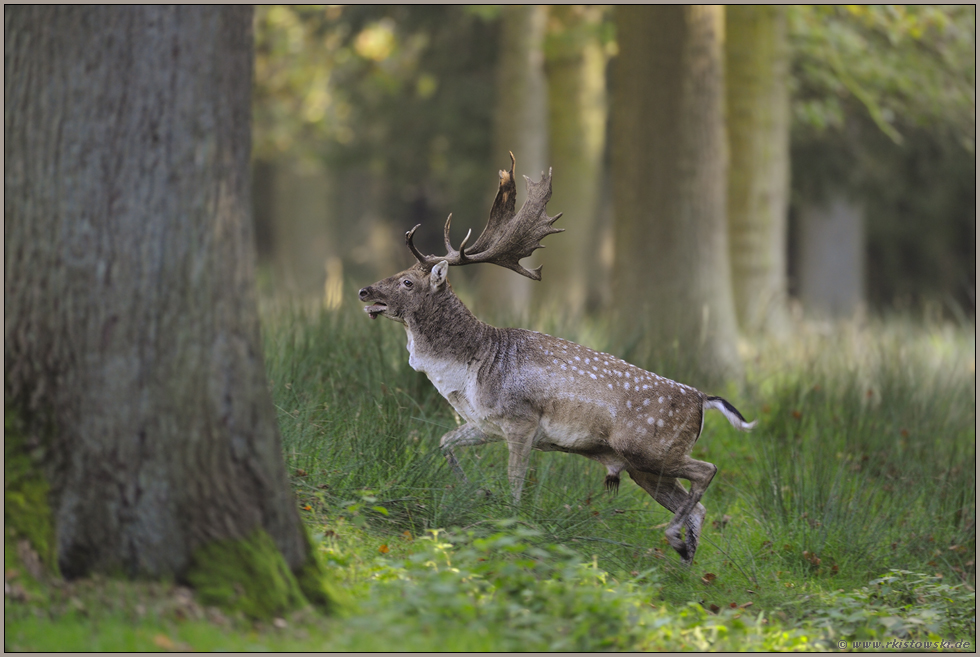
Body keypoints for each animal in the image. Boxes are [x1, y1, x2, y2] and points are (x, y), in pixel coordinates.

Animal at [356, 155, 756, 564]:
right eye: (398, 274)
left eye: (407, 282)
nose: (364, 291)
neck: (470, 370)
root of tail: (703, 399)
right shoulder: (485, 424)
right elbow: (444, 442)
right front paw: (477, 492)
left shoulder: (521, 420)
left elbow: (515, 485)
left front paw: (510, 527)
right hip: (642, 467)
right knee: (698, 507)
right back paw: (683, 556)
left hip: (649, 448)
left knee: (707, 470)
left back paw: (674, 537)